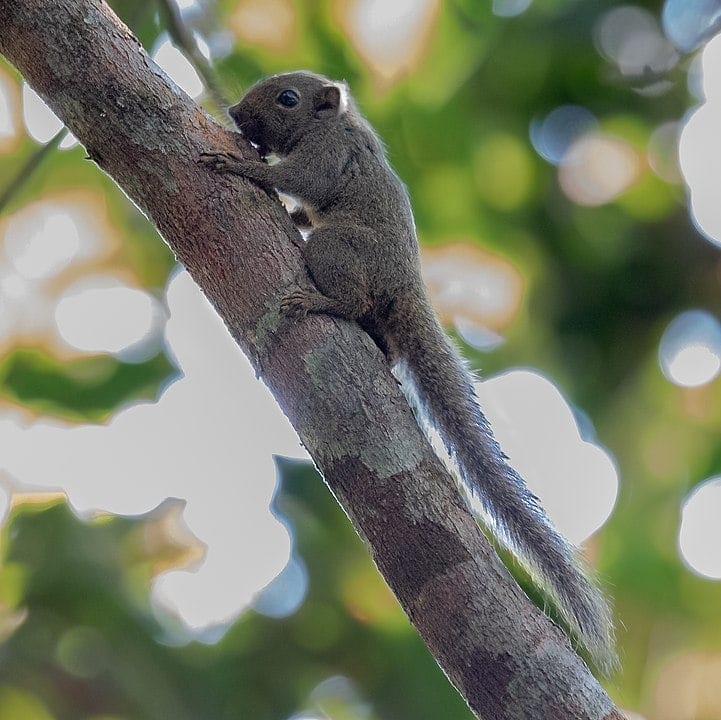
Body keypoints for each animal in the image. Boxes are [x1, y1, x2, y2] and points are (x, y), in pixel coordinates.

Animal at [201, 71, 616, 673]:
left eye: (287, 99)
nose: (235, 112)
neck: (337, 122)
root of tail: (405, 286)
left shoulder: (330, 155)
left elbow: (301, 180)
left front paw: (246, 167)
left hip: (340, 248)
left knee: (350, 295)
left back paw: (322, 303)